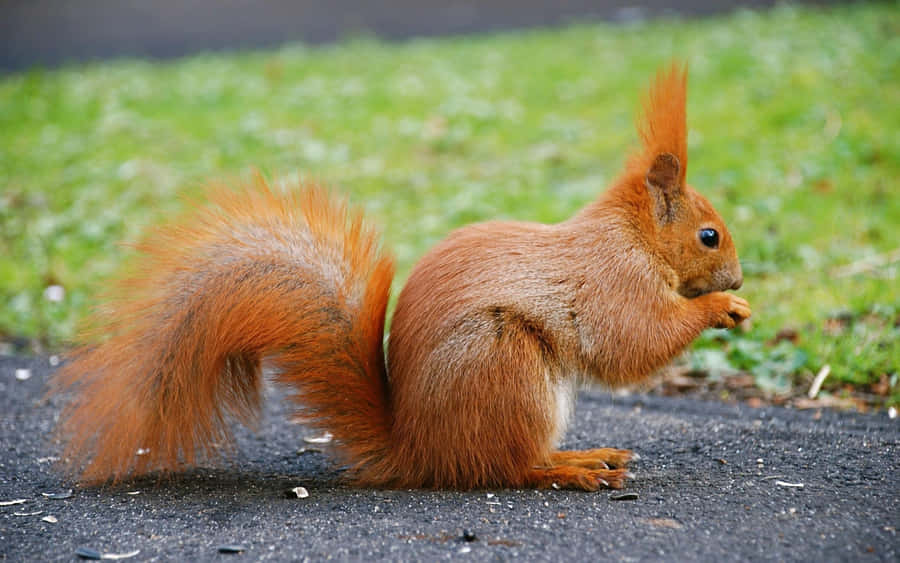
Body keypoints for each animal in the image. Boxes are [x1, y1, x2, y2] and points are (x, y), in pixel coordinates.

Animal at [51, 63, 750, 491]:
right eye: (709, 235)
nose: (740, 280)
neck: (633, 237)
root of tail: (417, 450)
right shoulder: (613, 279)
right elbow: (630, 342)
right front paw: (718, 310)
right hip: (505, 363)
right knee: (507, 467)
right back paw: (572, 467)